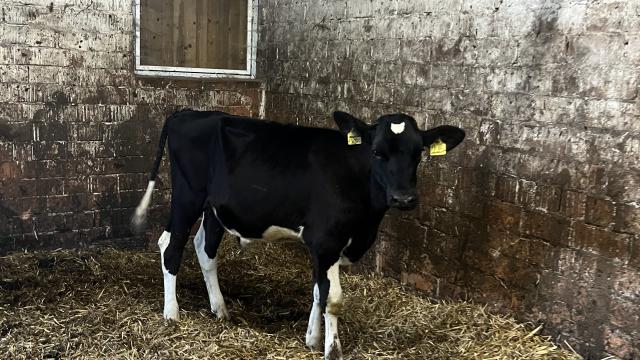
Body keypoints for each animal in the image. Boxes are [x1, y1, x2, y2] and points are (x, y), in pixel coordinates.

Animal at [134, 110, 464, 360]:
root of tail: (187, 112)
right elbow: (333, 299)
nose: (404, 198)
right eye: (377, 152)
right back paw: (172, 314)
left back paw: (220, 309)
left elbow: (319, 292)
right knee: (171, 246)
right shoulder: (327, 241)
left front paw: (312, 339)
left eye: (418, 153)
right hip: (187, 196)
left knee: (205, 248)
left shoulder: (322, 246)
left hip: (215, 209)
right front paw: (332, 350)